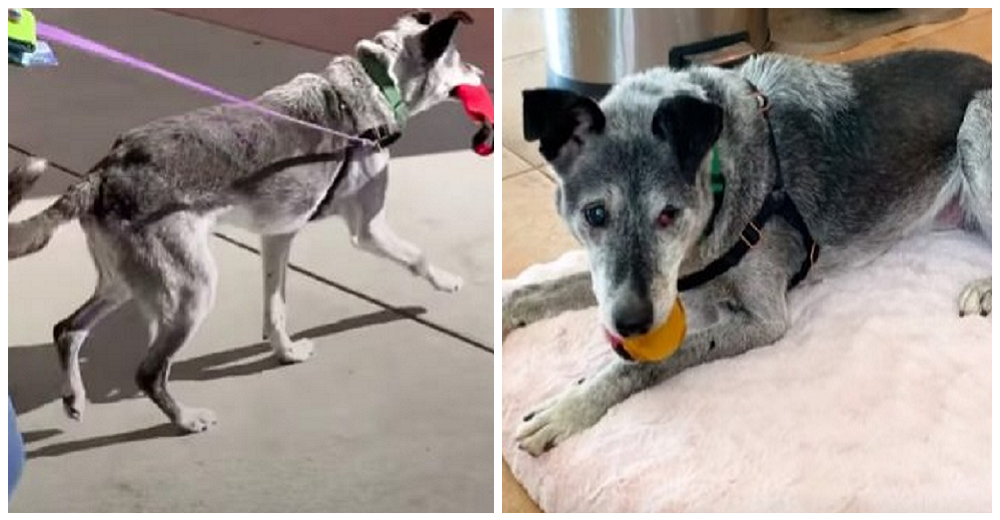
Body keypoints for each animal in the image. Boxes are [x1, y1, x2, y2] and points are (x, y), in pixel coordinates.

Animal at [7, 11, 484, 434]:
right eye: (461, 61)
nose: (481, 71)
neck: (375, 86)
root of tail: (105, 170)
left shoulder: (278, 237)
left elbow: (275, 307)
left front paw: (285, 352)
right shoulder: (368, 229)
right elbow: (417, 256)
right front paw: (446, 281)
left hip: (127, 279)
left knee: (68, 328)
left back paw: (74, 396)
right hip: (191, 288)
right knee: (148, 372)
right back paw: (186, 420)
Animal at [508, 48, 992, 456]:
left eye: (668, 214)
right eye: (595, 214)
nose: (631, 324)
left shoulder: (763, 322)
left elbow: (646, 364)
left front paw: (569, 407)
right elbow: (545, 289)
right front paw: (509, 309)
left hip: (973, 126)